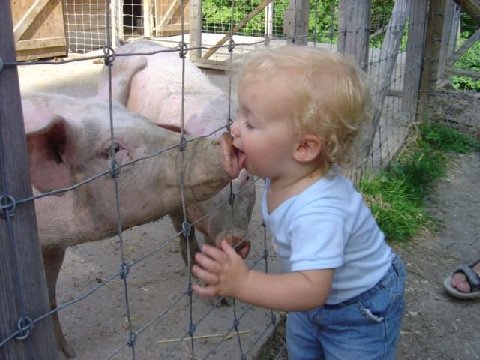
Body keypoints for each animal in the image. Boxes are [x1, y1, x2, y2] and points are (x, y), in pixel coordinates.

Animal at [24, 93, 244, 358]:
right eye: (114, 149)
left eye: (146, 121)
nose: (227, 140)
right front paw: (69, 353)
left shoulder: (53, 246)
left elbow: (49, 297)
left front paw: (69, 352)